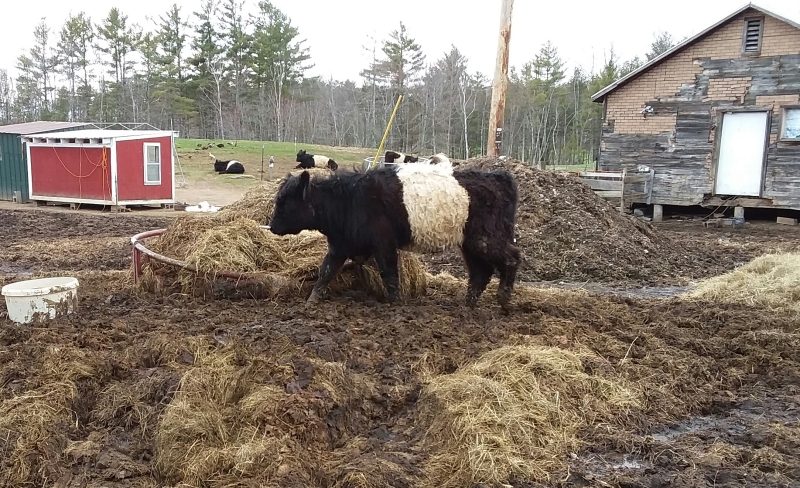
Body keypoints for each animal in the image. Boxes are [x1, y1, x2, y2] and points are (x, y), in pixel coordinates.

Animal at [269, 163, 521, 311]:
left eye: (284, 203)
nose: (272, 227)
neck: (349, 199)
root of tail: (498, 177)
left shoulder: (384, 244)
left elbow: (389, 275)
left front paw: (395, 304)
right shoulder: (340, 246)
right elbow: (325, 272)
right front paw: (311, 301)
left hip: (486, 238)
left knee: (512, 257)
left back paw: (503, 298)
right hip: (470, 244)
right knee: (480, 273)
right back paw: (467, 306)